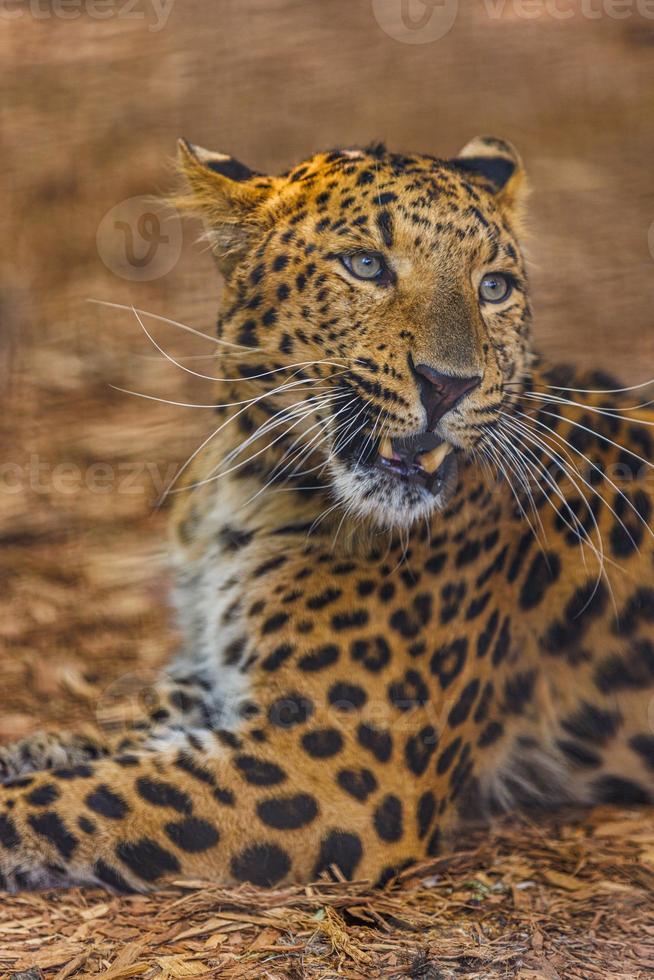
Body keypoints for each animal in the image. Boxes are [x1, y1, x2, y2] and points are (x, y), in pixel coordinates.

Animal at [1, 134, 654, 892]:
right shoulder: (211, 679)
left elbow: (74, 795)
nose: (449, 384)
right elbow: (100, 740)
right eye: (366, 265)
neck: (249, 480)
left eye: (494, 287)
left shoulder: (329, 769)